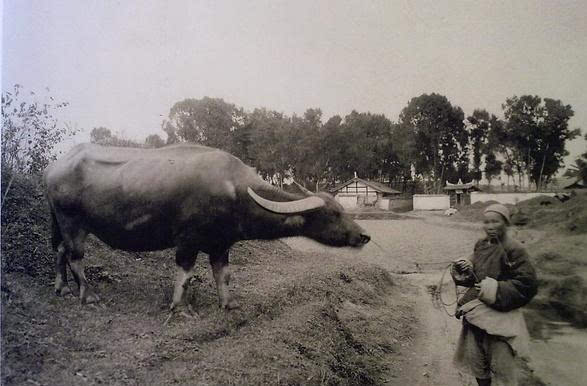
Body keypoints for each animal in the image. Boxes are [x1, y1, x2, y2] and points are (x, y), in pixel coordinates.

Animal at [44, 143, 372, 312]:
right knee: (75, 257)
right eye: (333, 214)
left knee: (59, 250)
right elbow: (186, 274)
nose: (364, 235)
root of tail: (53, 167)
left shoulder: (221, 244)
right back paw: (88, 296)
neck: (233, 191)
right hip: (72, 223)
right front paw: (180, 308)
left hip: (61, 223)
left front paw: (228, 304)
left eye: (343, 210)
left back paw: (62, 288)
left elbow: (223, 275)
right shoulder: (187, 242)